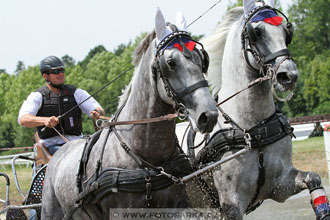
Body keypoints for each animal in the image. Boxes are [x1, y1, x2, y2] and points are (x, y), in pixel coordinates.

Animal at [40, 9, 219, 220]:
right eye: (170, 63)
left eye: (202, 58)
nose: (208, 115)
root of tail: (57, 155)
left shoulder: (177, 205)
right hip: (50, 211)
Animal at [179, 0, 330, 219]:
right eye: (256, 32)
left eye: (286, 30)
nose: (289, 75)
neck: (251, 129)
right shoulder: (232, 204)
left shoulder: (280, 185)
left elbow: (313, 178)